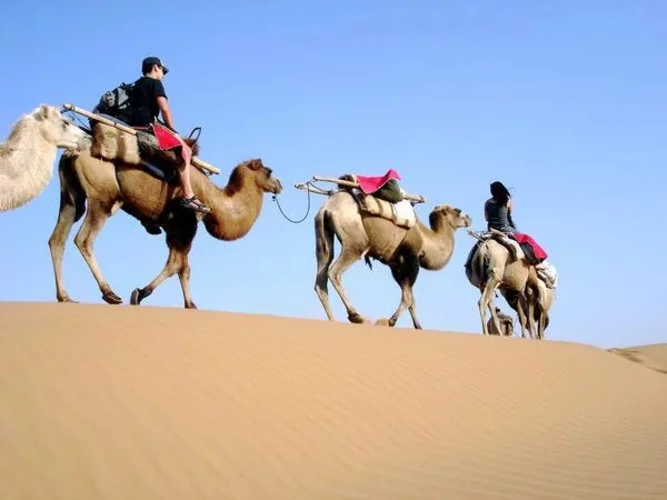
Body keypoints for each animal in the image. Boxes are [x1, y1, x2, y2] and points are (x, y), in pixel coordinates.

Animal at [316, 189, 472, 330]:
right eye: (457, 210)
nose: (470, 219)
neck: (426, 239)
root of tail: (328, 206)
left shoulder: (396, 265)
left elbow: (411, 298)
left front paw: (418, 326)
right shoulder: (410, 260)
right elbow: (408, 297)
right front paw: (391, 321)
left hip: (323, 236)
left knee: (321, 276)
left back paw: (333, 320)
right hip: (355, 242)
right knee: (334, 272)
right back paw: (355, 315)